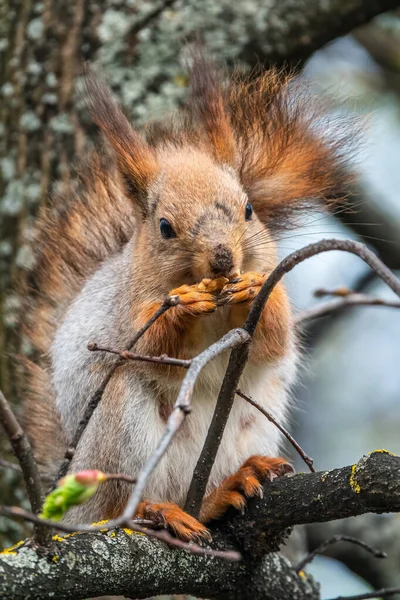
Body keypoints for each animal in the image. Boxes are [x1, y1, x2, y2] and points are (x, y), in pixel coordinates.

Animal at [23, 51, 352, 540]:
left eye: (248, 209)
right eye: (164, 227)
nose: (222, 258)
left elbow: (274, 340)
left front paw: (255, 291)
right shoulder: (126, 313)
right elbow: (151, 344)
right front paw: (185, 307)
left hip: (247, 429)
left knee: (201, 495)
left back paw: (230, 486)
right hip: (119, 433)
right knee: (122, 503)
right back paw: (157, 511)